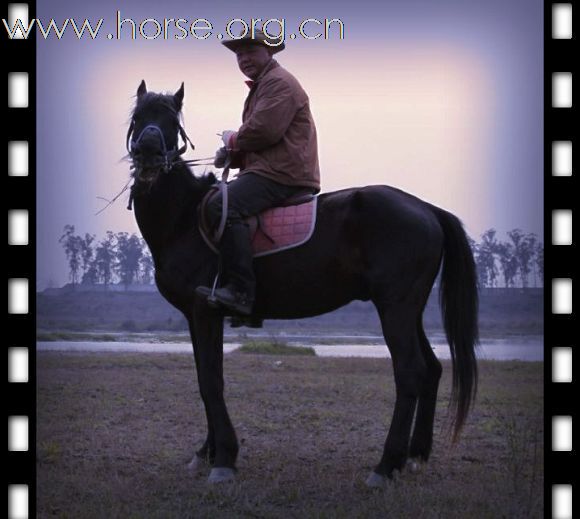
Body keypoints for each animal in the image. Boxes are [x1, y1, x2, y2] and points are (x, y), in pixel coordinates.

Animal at [128, 81, 480, 488]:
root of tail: (426, 208)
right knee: (432, 368)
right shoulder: (193, 316)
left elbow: (212, 381)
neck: (185, 217)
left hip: (396, 308)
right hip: (408, 309)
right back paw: (415, 455)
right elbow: (204, 377)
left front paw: (224, 458)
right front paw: (207, 452)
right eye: (138, 118)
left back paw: (385, 465)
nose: (149, 151)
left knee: (410, 373)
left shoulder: (205, 312)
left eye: (172, 122)